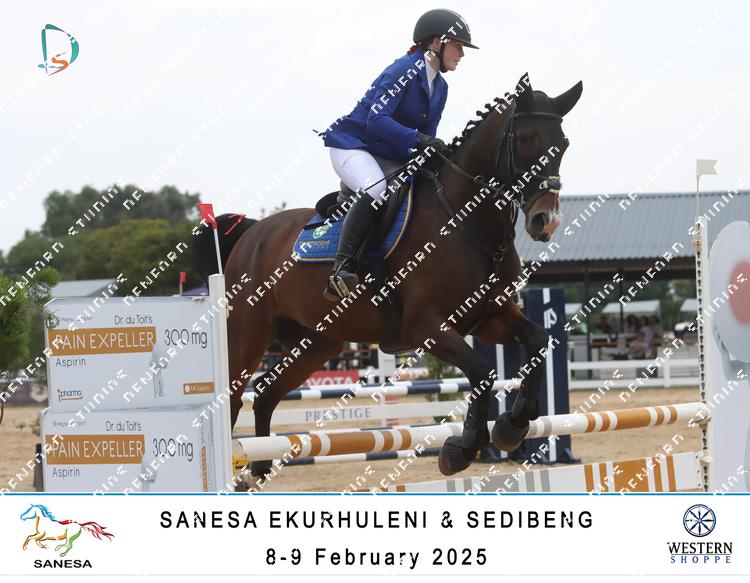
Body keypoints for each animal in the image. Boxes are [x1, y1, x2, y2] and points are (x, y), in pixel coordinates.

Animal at [194, 73, 582, 484]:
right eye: (524, 138)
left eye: (563, 144)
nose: (546, 220)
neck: (465, 221)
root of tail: (252, 232)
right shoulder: (425, 327)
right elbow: (482, 371)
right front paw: (461, 449)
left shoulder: (490, 320)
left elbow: (538, 341)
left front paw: (513, 424)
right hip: (246, 337)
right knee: (232, 398)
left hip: (315, 343)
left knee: (266, 391)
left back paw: (260, 468)